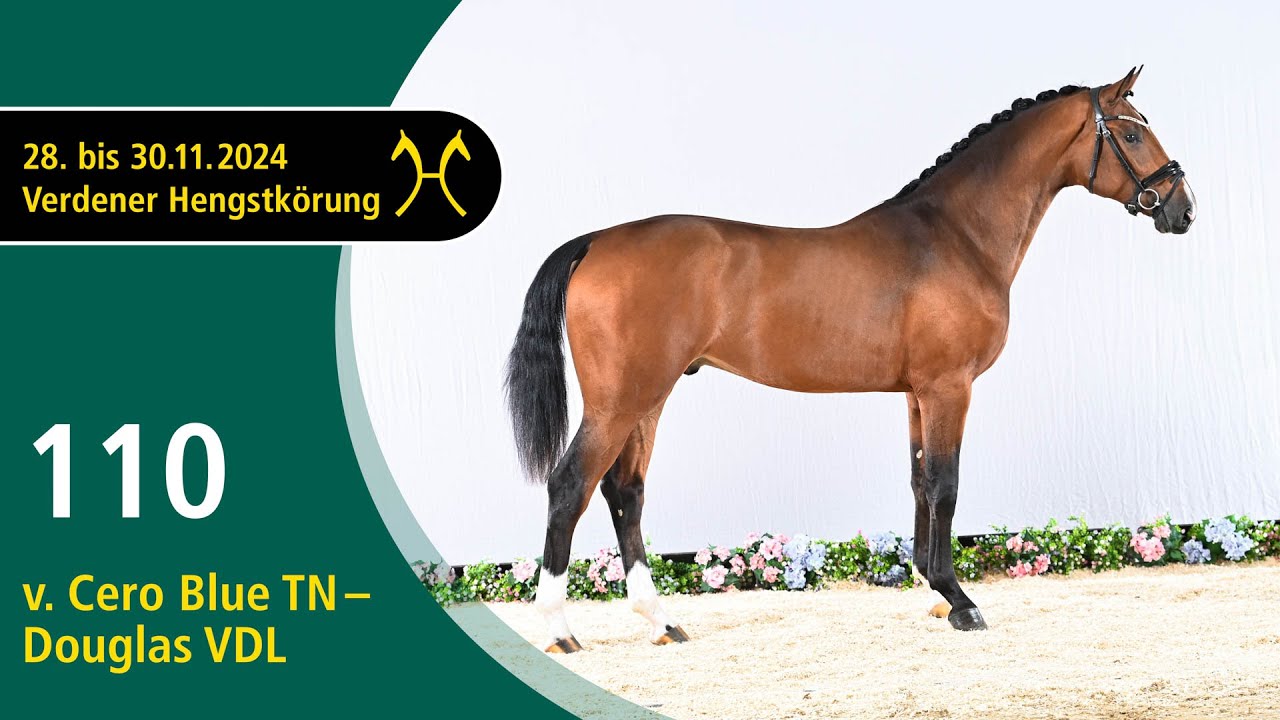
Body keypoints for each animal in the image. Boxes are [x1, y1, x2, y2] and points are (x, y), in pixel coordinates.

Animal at [504, 66, 1195, 653]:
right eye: (1132, 131)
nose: (1182, 208)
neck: (955, 236)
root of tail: (596, 241)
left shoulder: (918, 393)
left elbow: (920, 483)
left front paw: (933, 592)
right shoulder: (949, 388)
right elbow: (946, 484)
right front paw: (961, 602)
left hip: (650, 396)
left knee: (625, 491)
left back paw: (662, 621)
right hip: (619, 401)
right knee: (571, 487)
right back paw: (560, 630)